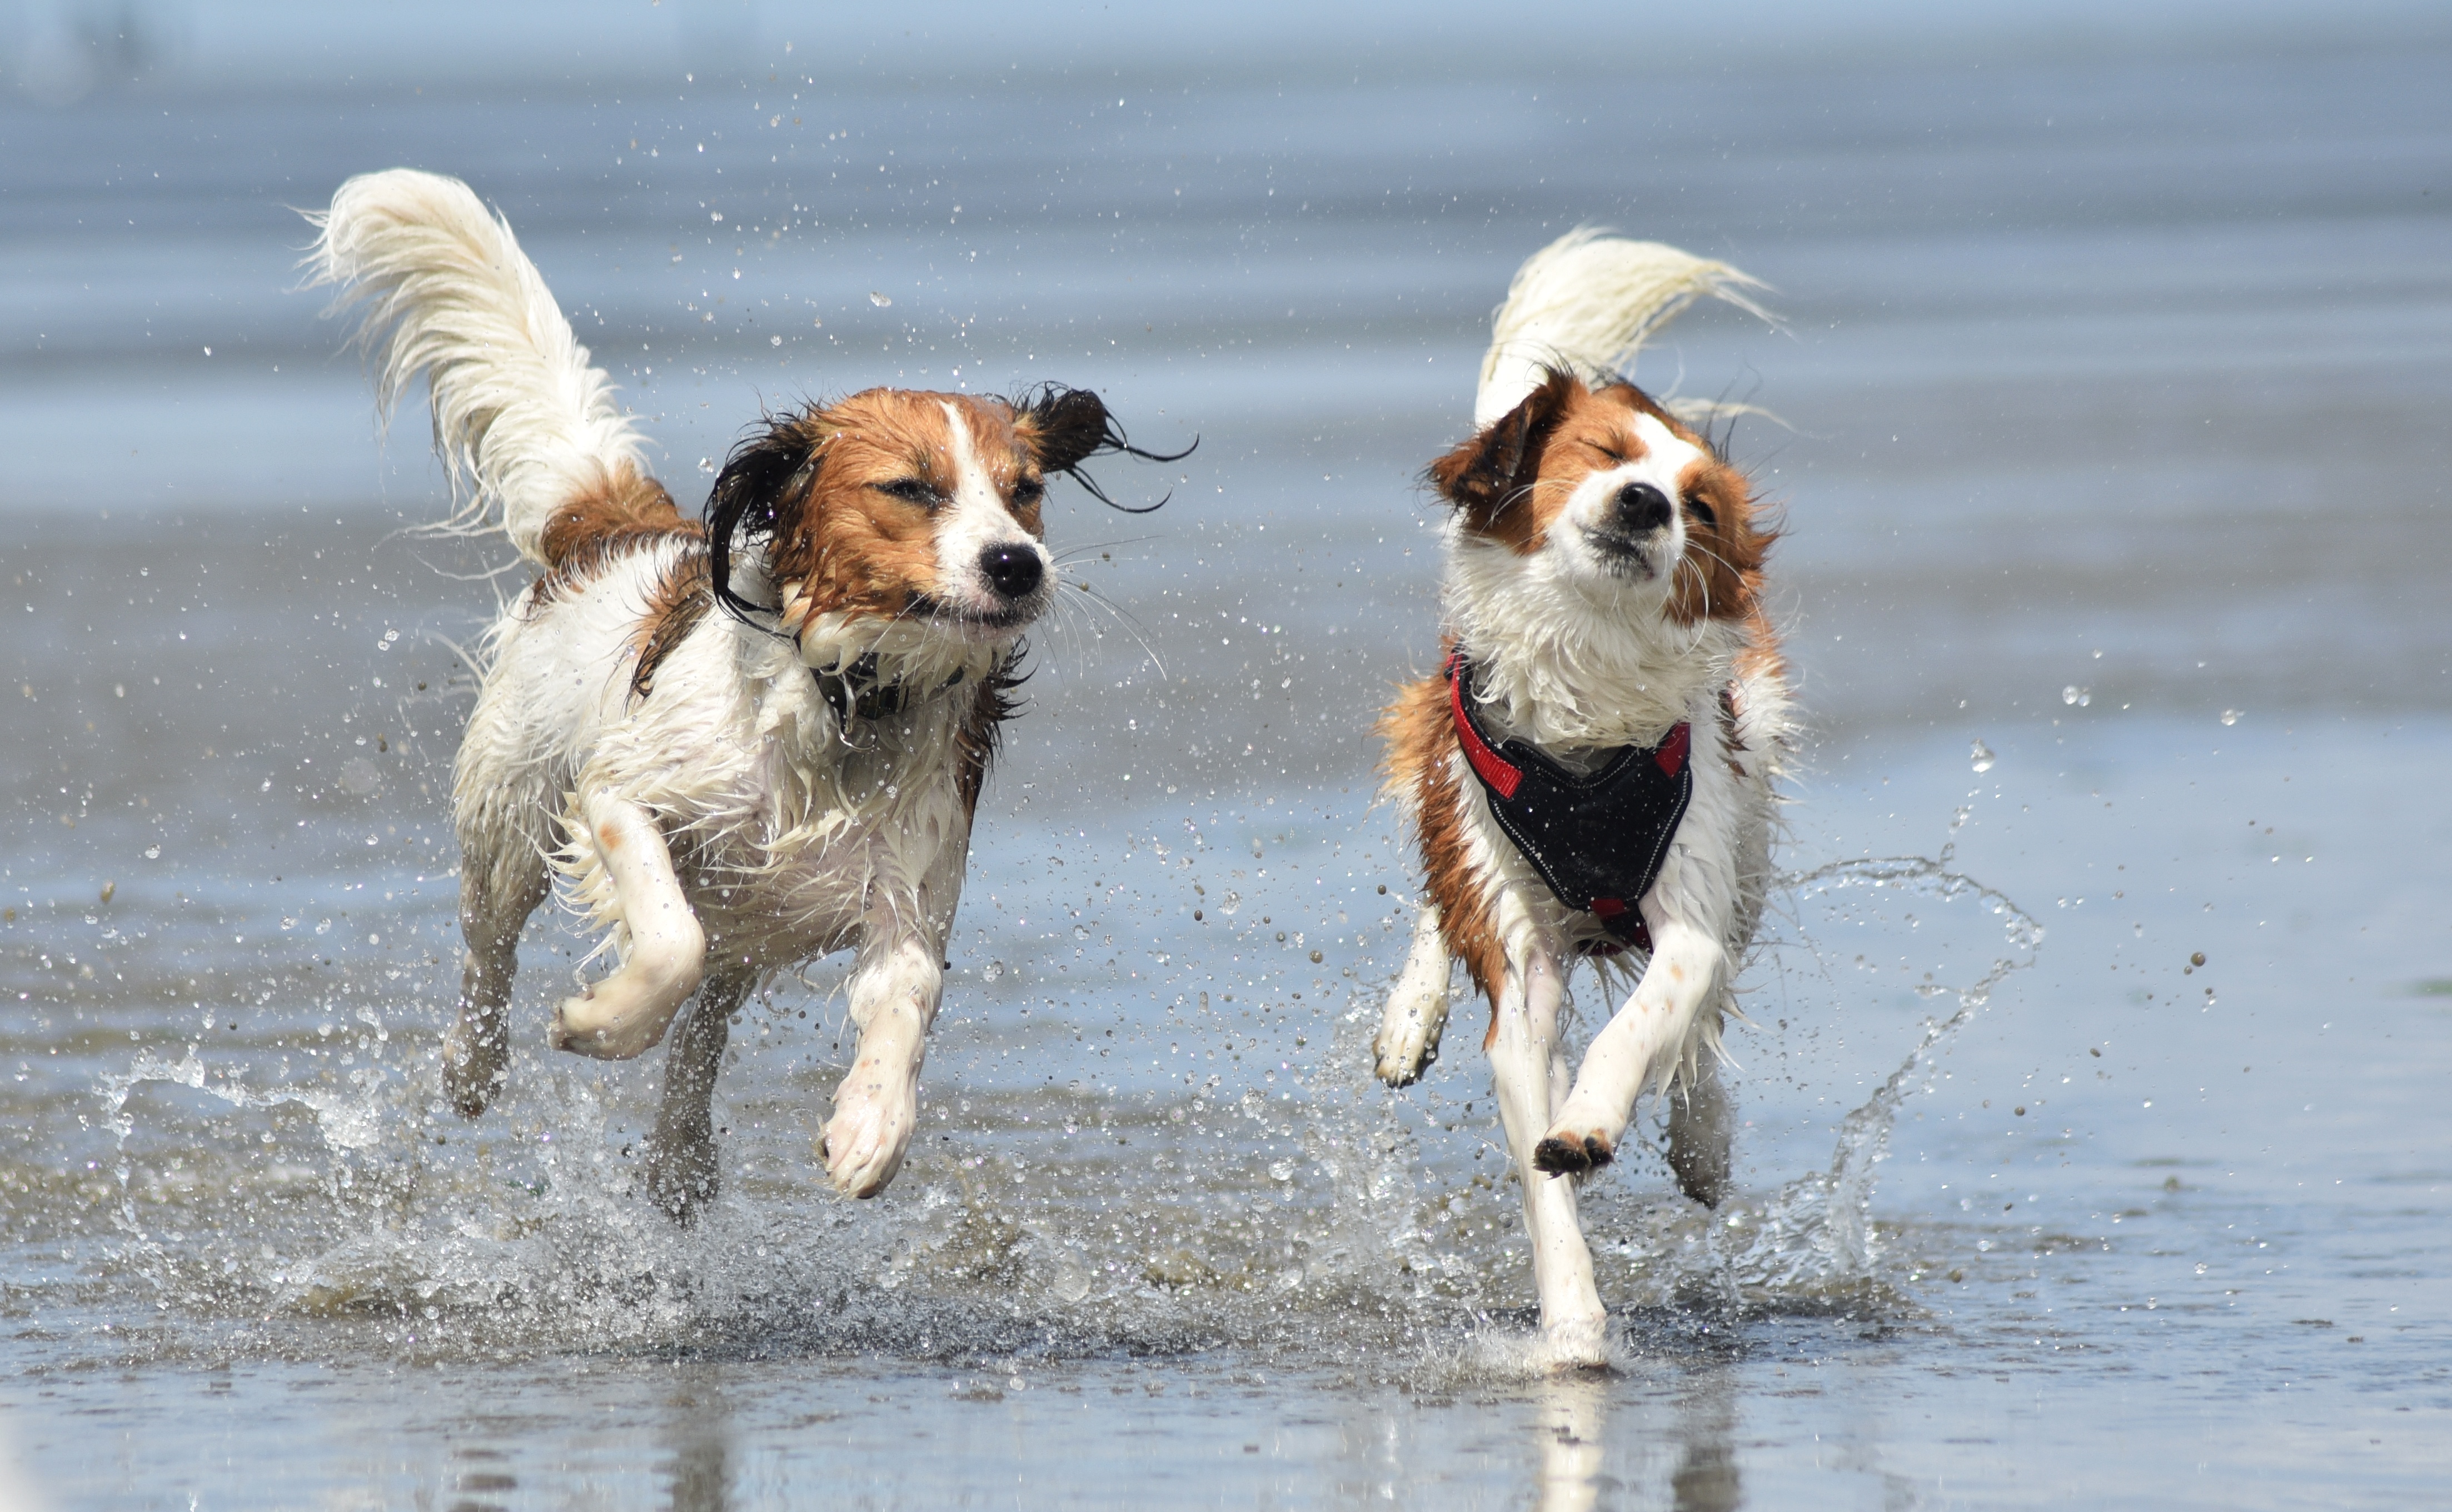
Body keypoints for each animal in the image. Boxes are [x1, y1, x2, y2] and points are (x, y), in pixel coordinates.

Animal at [313, 171, 1177, 1220]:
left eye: (1027, 490)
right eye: (910, 487)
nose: (1017, 565)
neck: (848, 699)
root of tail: (615, 531)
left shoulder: (911, 889)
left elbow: (908, 995)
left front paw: (872, 1127)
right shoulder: (622, 794)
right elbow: (666, 939)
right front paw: (600, 1023)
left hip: (755, 918)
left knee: (707, 1025)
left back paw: (680, 1160)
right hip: (509, 814)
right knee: (492, 948)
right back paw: (472, 1070)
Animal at [1373, 226, 1795, 1372]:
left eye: (1699, 506)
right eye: (1604, 457)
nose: (1646, 504)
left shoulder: (1691, 894)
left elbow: (1656, 1014)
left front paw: (1596, 1117)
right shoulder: (1516, 958)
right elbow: (1539, 1177)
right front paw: (1571, 1333)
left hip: (1747, 835)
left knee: (1707, 1015)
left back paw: (1701, 1137)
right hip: (1438, 775)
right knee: (1436, 896)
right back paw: (1406, 1016)